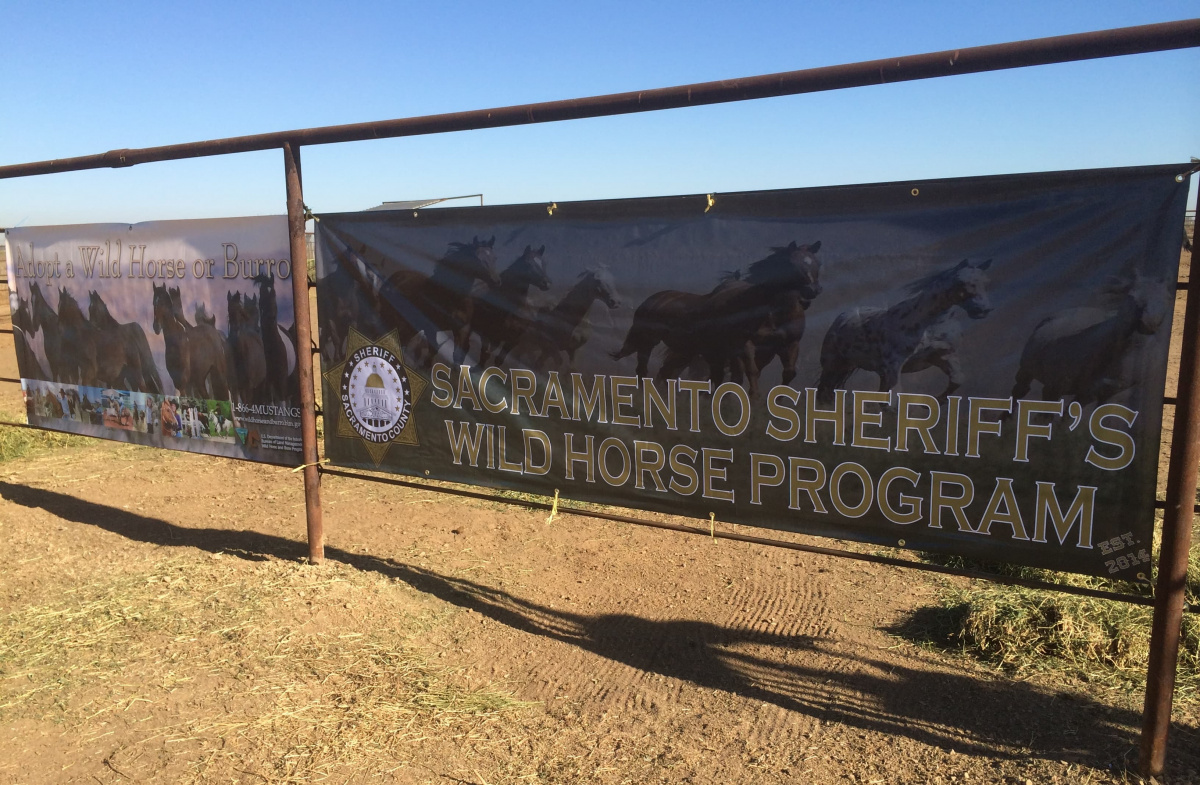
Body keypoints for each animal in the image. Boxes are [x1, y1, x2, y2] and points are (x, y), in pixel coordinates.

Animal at [379, 235, 501, 367]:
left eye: (495, 258)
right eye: (478, 259)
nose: (496, 281)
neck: (452, 298)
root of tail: (396, 276)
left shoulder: (463, 328)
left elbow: (458, 355)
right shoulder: (431, 326)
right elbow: (434, 349)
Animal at [816, 260, 993, 405]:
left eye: (985, 281)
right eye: (960, 282)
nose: (983, 310)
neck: (926, 326)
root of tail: (842, 318)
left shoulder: (942, 356)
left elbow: (957, 379)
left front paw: (933, 404)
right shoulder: (893, 368)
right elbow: (893, 402)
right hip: (833, 365)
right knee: (824, 390)